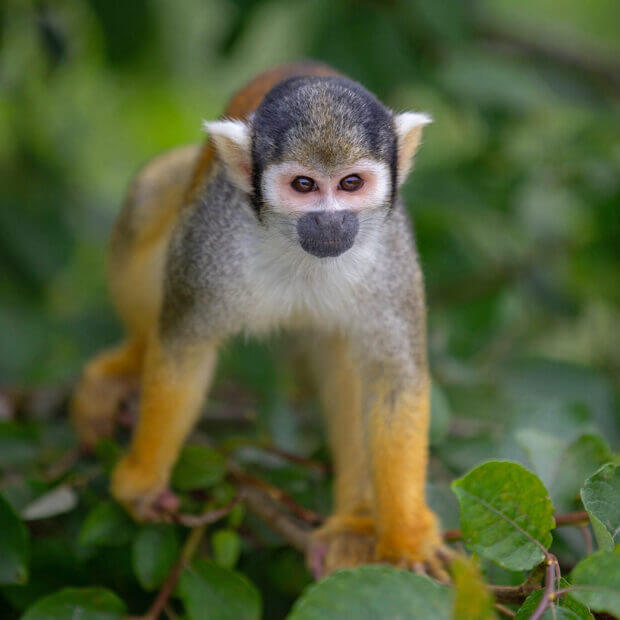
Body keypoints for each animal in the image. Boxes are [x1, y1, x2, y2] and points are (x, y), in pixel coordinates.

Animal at [74, 61, 450, 576]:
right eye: (304, 186)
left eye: (351, 184)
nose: (330, 222)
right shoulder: (214, 239)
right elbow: (184, 349)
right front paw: (143, 479)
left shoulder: (391, 257)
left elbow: (392, 378)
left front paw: (407, 537)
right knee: (150, 196)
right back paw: (130, 359)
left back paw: (354, 523)